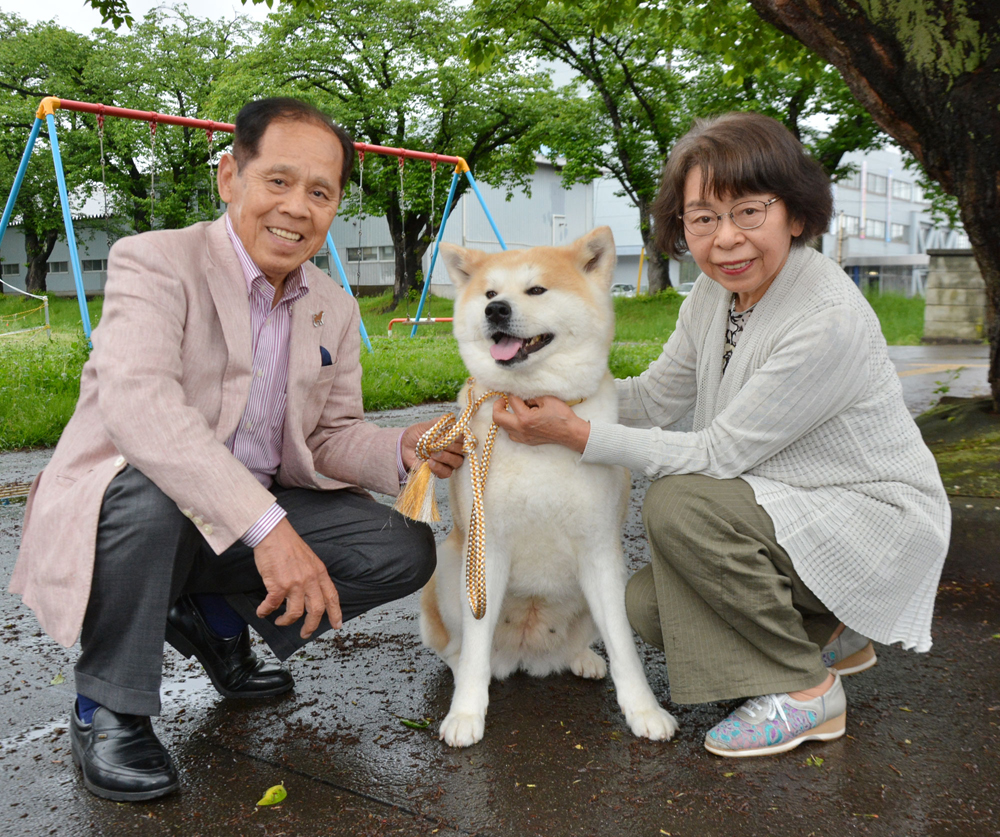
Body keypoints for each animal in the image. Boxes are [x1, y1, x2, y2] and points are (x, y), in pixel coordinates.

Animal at [418, 225, 676, 748]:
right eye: (490, 293)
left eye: (536, 290)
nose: (496, 310)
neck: (531, 407)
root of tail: (527, 653)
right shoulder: (486, 551)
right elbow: (475, 647)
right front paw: (466, 712)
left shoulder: (600, 551)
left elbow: (623, 644)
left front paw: (643, 709)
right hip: (448, 570)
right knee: (459, 649)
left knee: (583, 639)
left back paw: (582, 658)